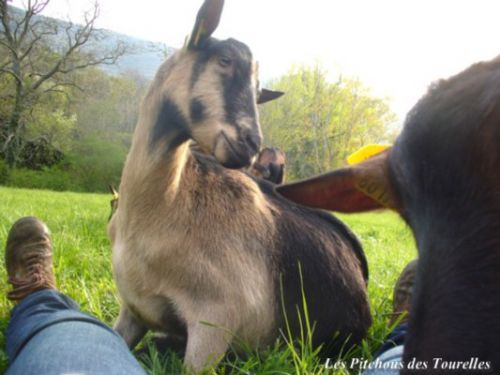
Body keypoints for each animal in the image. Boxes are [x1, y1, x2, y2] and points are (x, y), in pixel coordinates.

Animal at [109, 0, 374, 372]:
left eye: (258, 89)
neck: (161, 211)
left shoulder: (214, 321)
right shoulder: (132, 313)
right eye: (224, 60)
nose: (250, 144)